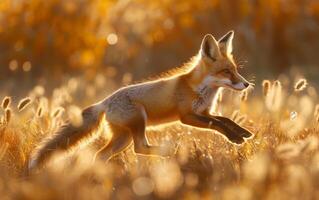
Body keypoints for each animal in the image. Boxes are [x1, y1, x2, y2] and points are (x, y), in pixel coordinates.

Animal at [30, 30, 255, 171]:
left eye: (235, 70)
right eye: (226, 72)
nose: (246, 85)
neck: (200, 90)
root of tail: (104, 102)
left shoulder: (204, 112)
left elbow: (224, 120)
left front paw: (242, 132)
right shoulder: (187, 116)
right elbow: (216, 124)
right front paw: (235, 138)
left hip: (123, 137)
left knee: (102, 154)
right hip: (138, 122)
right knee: (139, 148)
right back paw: (169, 151)